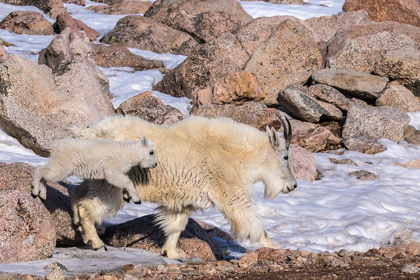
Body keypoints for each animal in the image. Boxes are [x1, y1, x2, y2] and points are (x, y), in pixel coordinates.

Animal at [70, 115, 296, 258]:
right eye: (286, 156)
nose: (293, 185)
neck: (236, 153)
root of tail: (90, 133)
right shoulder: (229, 188)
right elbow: (251, 222)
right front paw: (276, 248)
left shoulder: (182, 199)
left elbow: (176, 225)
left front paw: (171, 253)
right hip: (114, 178)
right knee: (89, 206)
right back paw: (96, 242)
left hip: (96, 175)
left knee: (79, 192)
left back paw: (80, 226)